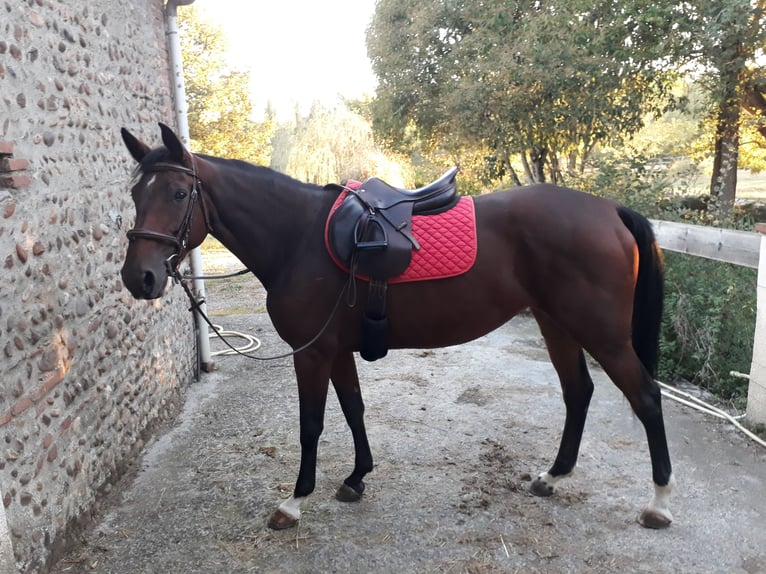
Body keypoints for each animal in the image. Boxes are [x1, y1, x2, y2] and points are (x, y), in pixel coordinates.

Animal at [117, 124, 676, 532]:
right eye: (135, 193)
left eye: (179, 193)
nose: (138, 277)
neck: (298, 237)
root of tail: (609, 209)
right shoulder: (336, 349)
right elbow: (354, 409)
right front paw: (357, 478)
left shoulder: (311, 353)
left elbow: (311, 424)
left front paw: (295, 502)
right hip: (556, 322)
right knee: (578, 392)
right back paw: (553, 476)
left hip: (602, 333)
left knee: (646, 397)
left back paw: (659, 502)